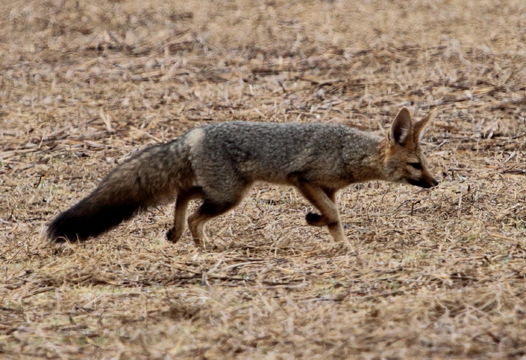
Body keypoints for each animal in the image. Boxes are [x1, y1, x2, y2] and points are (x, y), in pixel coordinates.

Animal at [47, 107, 440, 246]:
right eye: (416, 165)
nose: (436, 183)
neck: (348, 151)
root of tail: (192, 134)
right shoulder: (303, 179)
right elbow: (333, 215)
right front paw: (343, 246)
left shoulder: (326, 188)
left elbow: (331, 214)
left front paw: (322, 227)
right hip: (230, 196)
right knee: (194, 212)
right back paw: (201, 245)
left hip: (223, 190)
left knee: (183, 196)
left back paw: (176, 233)